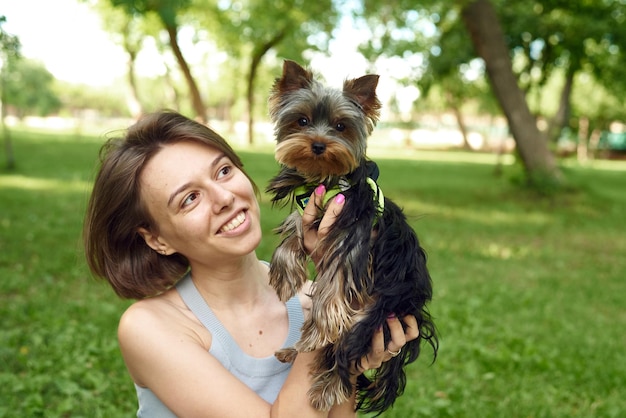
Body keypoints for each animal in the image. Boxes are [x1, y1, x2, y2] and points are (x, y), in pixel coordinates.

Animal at [266, 60, 436, 414]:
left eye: (341, 126)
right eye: (302, 121)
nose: (318, 145)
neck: (324, 178)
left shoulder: (353, 235)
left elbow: (335, 283)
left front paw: (321, 330)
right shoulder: (307, 210)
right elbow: (292, 235)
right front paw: (285, 278)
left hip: (376, 313)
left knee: (347, 350)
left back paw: (326, 385)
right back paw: (294, 351)